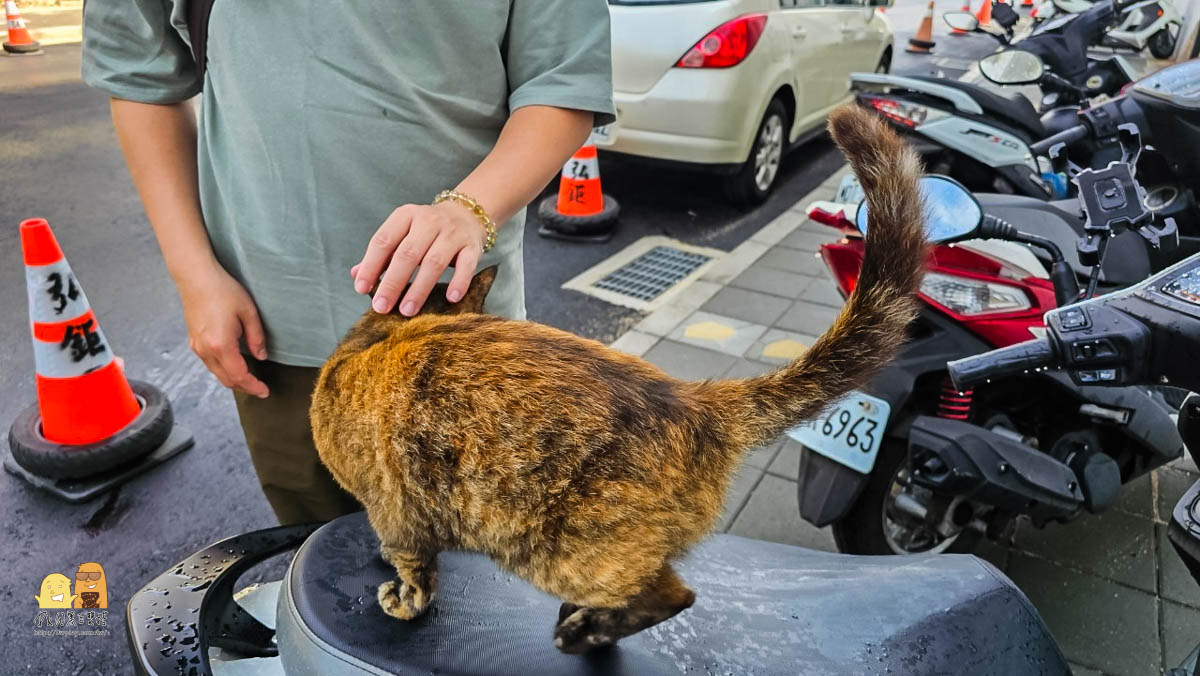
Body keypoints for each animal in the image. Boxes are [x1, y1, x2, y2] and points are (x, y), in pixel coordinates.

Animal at [309, 103, 926, 653]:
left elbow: (415, 569)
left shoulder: (393, 512)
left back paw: (584, 632)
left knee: (672, 595)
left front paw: (402, 595)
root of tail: (699, 404)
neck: (378, 338)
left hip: (563, 553)